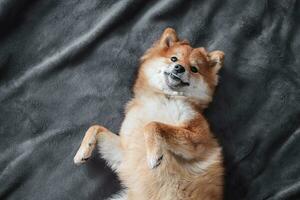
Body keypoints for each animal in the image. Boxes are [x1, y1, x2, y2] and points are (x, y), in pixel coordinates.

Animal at [74, 28, 225, 200]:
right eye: (174, 58)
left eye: (194, 69)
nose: (179, 68)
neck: (163, 97)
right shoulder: (124, 152)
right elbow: (95, 127)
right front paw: (82, 152)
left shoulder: (198, 138)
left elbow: (153, 125)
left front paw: (154, 154)